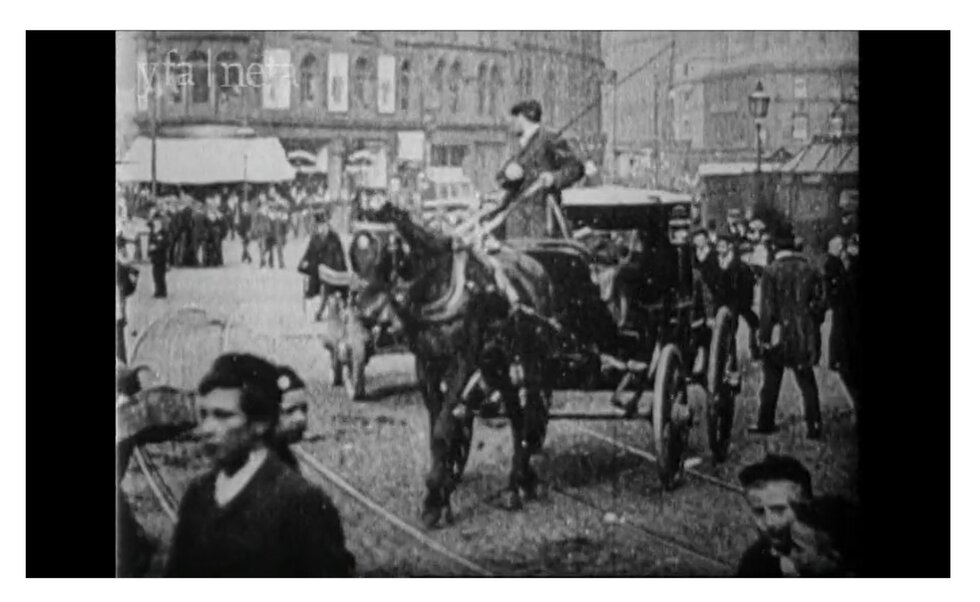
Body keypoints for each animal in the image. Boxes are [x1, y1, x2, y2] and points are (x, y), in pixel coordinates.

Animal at [356, 202, 560, 524]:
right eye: (356, 252)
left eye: (390, 252)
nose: (364, 312)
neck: (439, 287)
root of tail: (537, 270)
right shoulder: (426, 363)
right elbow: (438, 429)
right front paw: (441, 492)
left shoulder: (462, 362)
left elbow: (444, 427)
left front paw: (434, 497)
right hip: (496, 364)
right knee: (516, 414)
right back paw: (517, 482)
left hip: (530, 361)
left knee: (529, 415)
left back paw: (522, 480)